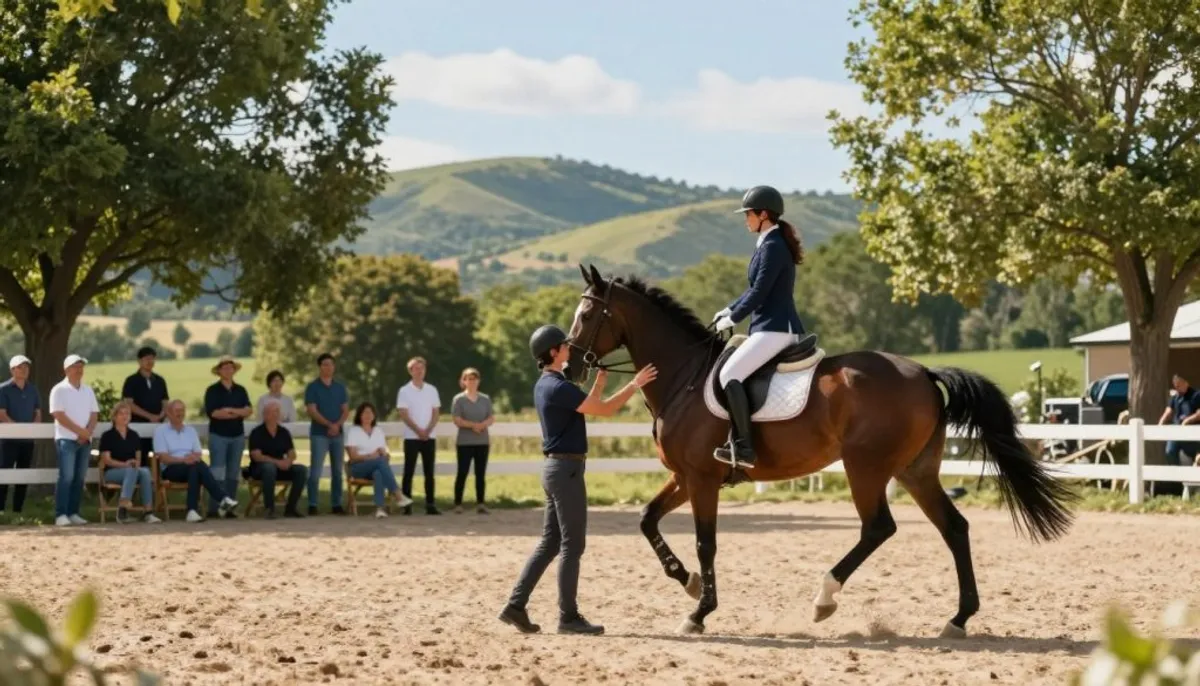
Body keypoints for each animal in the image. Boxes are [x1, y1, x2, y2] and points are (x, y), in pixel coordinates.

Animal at [564, 264, 1077, 637]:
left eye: (587, 315)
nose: (568, 368)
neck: (682, 376)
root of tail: (925, 373)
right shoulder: (684, 477)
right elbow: (647, 519)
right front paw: (686, 582)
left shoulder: (703, 479)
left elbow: (705, 543)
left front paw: (699, 612)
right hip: (915, 471)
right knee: (954, 528)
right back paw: (958, 619)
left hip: (865, 466)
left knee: (879, 527)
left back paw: (824, 599)